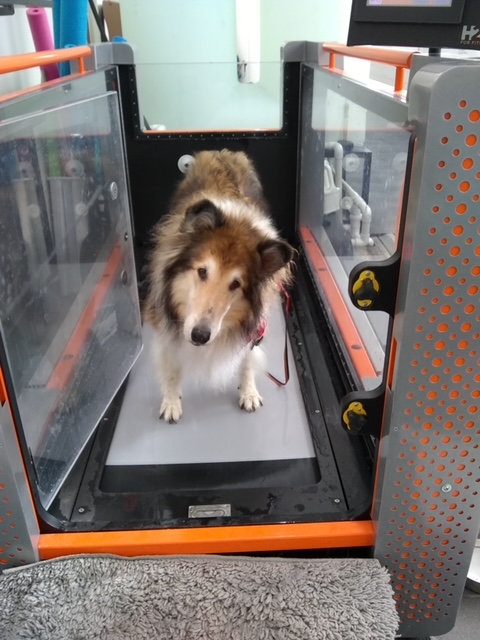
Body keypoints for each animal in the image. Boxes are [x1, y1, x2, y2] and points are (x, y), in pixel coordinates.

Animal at [143, 148, 292, 422]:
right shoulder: (164, 324)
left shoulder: (255, 330)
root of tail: (223, 151)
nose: (200, 336)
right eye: (202, 271)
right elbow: (171, 368)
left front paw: (249, 393)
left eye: (236, 284)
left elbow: (247, 361)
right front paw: (171, 403)